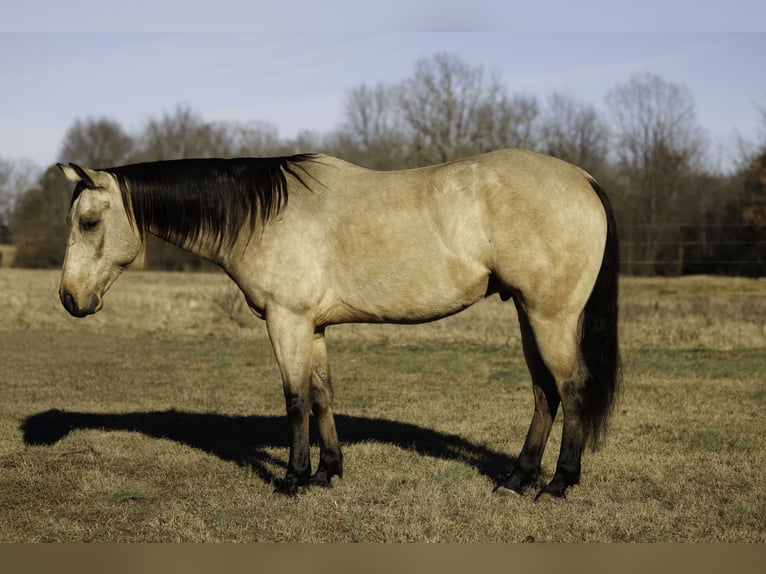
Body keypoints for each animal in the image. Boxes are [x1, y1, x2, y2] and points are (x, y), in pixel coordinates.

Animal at [57, 149, 620, 500]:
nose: (69, 298)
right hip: (527, 313)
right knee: (543, 391)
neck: (264, 215)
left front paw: (293, 478)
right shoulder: (313, 327)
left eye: (88, 221)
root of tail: (585, 179)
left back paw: (557, 483)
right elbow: (323, 394)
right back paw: (517, 478)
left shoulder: (286, 320)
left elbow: (295, 399)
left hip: (550, 316)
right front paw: (328, 471)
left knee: (571, 387)